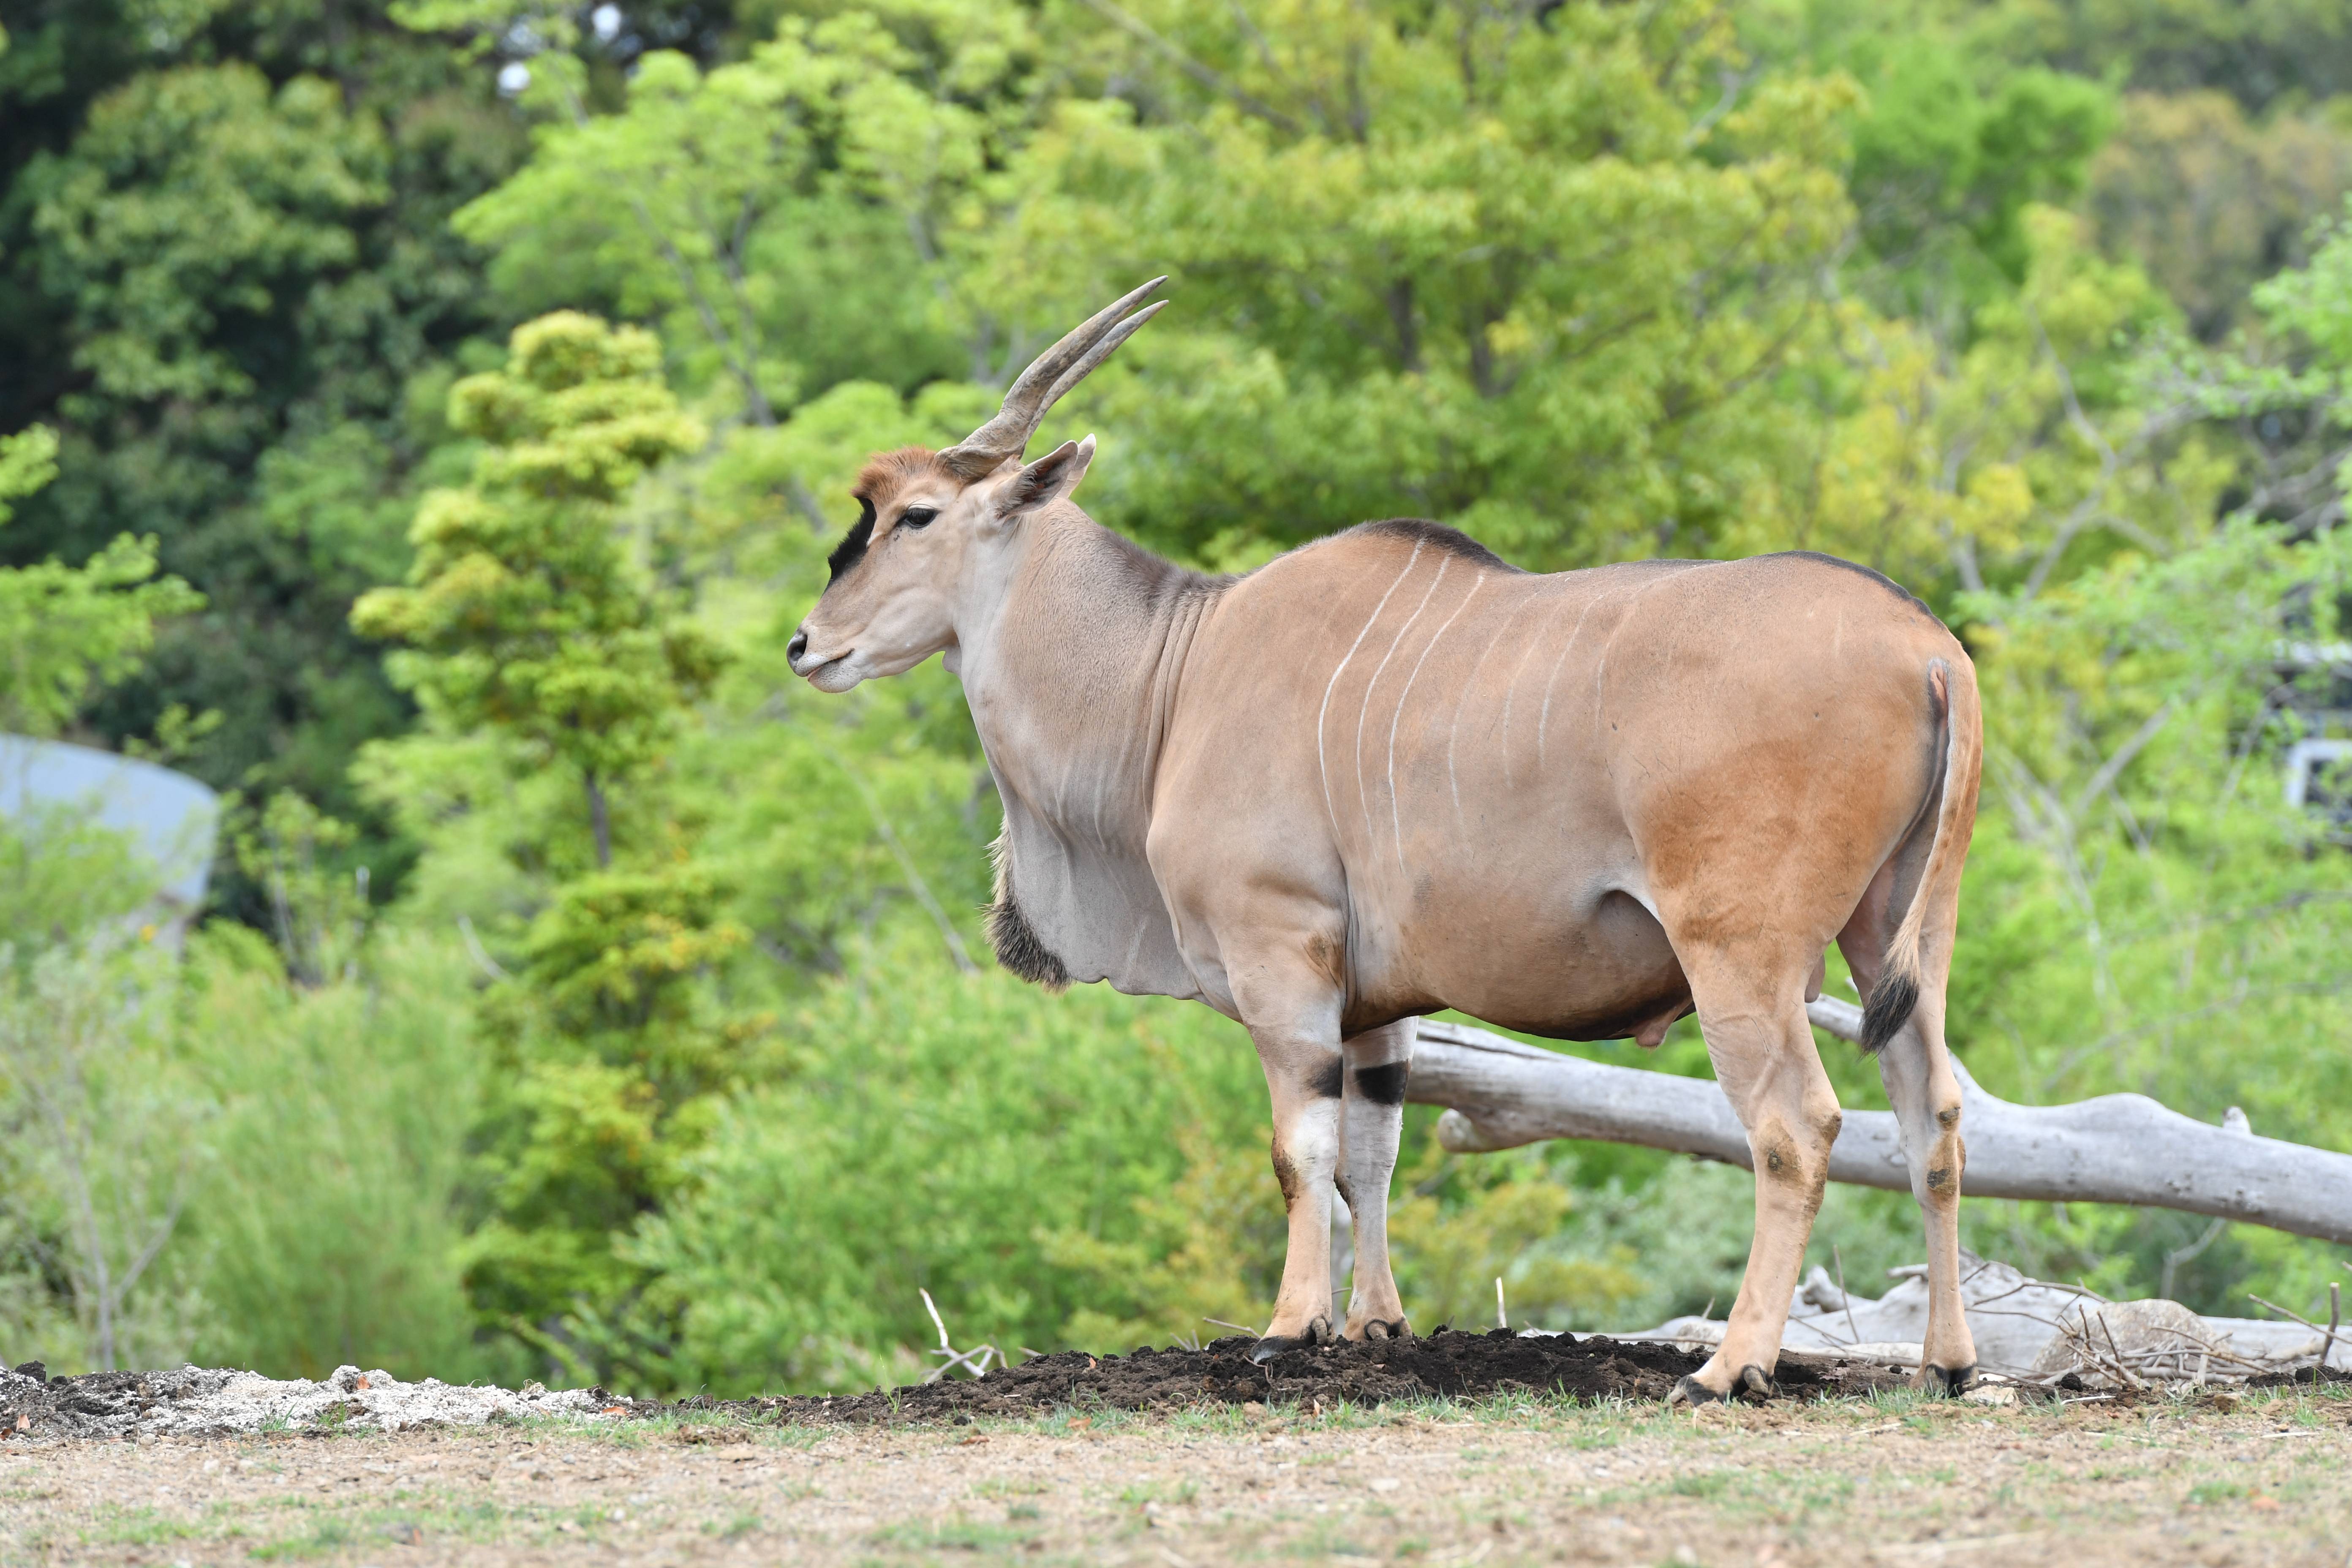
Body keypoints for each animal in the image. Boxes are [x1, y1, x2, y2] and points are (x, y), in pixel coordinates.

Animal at [790, 278, 1985, 1401]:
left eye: (916, 516)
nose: (806, 645)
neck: (1175, 670)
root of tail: (1927, 645)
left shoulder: (1282, 959)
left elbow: (1300, 1151)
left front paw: (1290, 1327)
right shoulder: (1376, 1005)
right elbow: (1372, 1154)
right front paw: (1376, 1324)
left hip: (1740, 954)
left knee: (1797, 1128)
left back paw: (1729, 1365)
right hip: (1895, 940)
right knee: (1930, 1114)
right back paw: (1947, 1362)